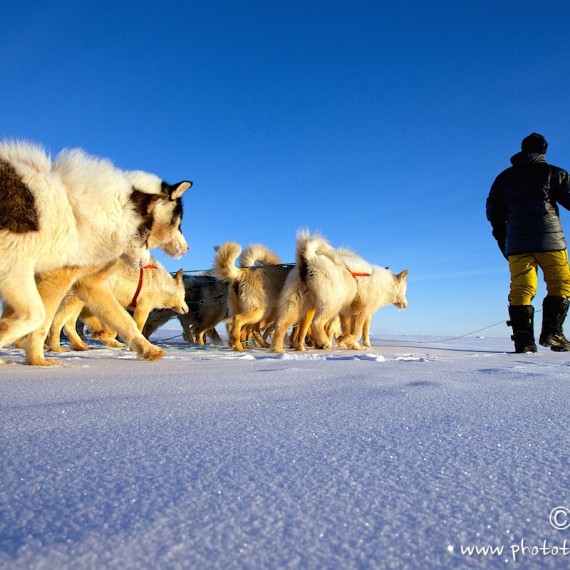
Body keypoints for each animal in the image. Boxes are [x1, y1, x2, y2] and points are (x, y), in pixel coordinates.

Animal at [47, 258, 187, 350]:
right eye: (184, 294)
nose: (187, 309)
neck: (161, 284)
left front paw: (106, 337)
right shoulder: (143, 308)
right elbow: (136, 328)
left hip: (78, 303)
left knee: (68, 325)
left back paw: (80, 345)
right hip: (74, 300)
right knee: (57, 322)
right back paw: (56, 348)